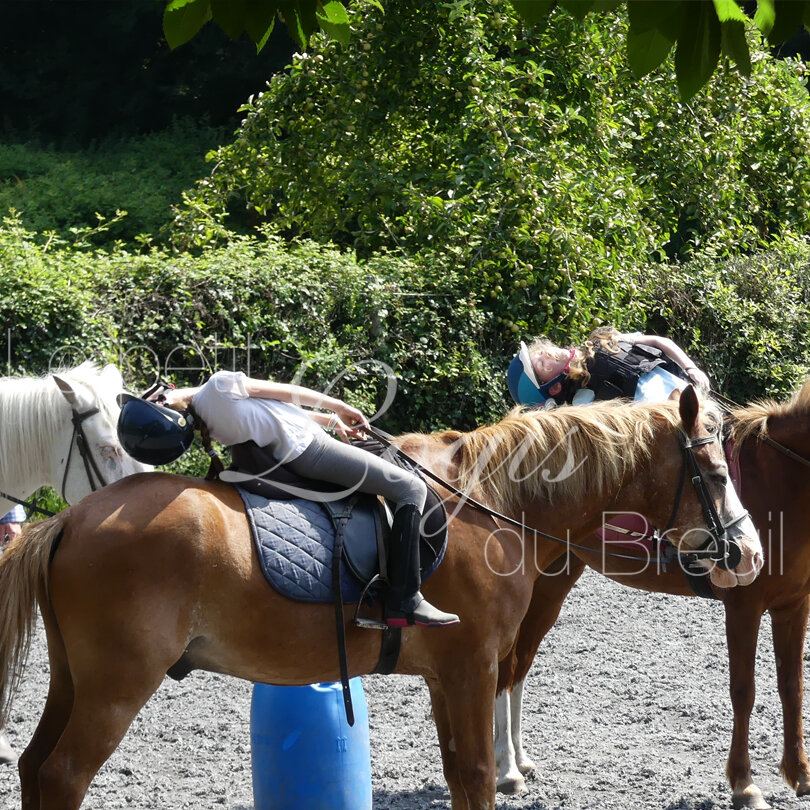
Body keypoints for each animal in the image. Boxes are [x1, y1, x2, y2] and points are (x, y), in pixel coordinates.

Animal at [492, 382, 810, 808]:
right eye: (717, 477)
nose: (750, 553)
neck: (781, 478)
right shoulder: (744, 606)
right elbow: (744, 691)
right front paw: (744, 784)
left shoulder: (793, 605)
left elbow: (792, 688)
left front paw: (800, 775)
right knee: (507, 666)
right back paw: (507, 768)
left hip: (554, 584)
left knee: (521, 665)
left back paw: (520, 759)